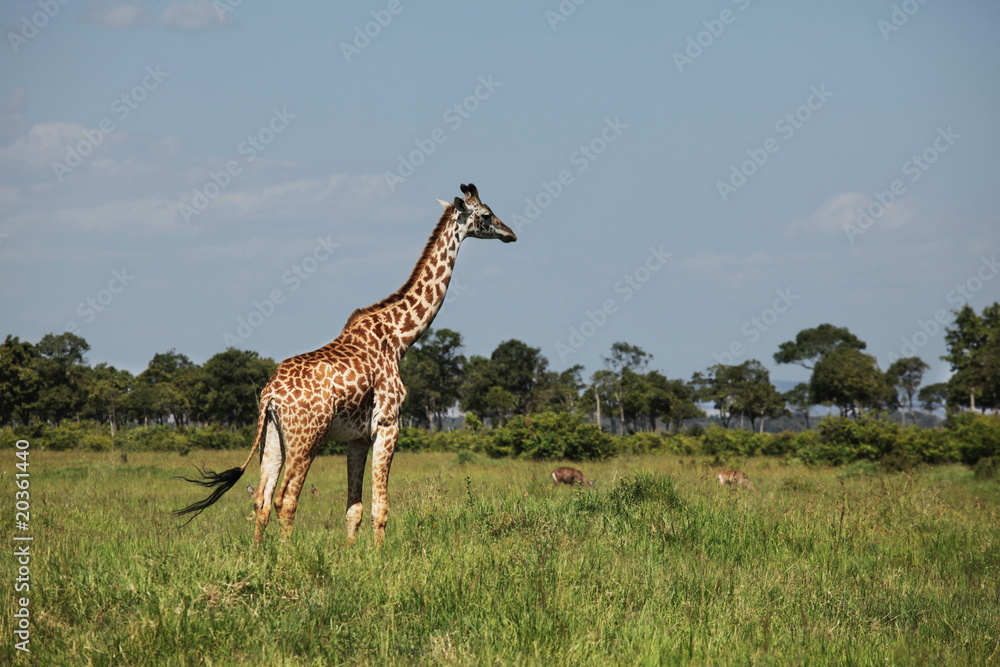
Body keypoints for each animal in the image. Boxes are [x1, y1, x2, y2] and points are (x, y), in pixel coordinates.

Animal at [174, 183, 516, 545]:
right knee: (286, 498)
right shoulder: (388, 426)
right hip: (306, 438)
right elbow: (380, 508)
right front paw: (380, 557)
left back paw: (257, 555)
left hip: (272, 436)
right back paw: (285, 555)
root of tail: (269, 395)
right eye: (486, 215)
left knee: (262, 499)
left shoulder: (358, 437)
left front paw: (352, 555)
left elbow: (354, 509)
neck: (399, 338)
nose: (511, 233)